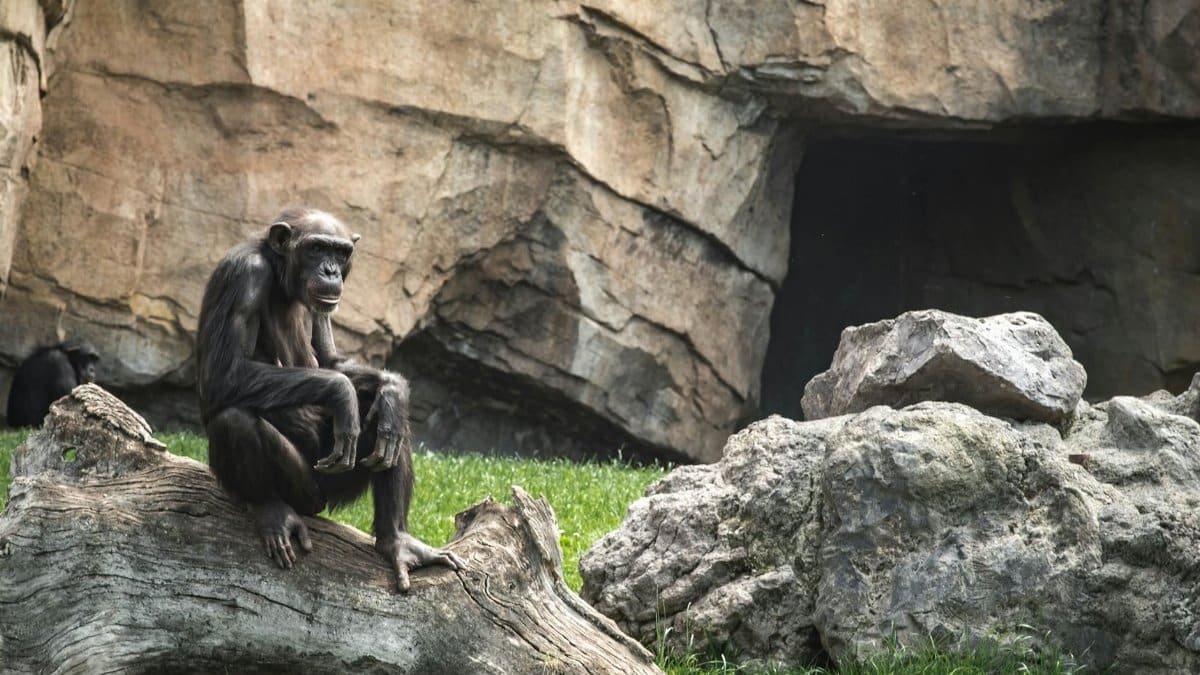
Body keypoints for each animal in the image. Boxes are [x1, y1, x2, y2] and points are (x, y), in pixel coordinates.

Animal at [195, 207, 463, 590]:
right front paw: (341, 392)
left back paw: (396, 540)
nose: (331, 271)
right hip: (305, 491)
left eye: (340, 253)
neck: (281, 278)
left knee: (390, 424)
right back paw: (273, 512)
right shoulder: (243, 275)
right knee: (233, 419)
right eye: (317, 248)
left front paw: (394, 387)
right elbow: (224, 372)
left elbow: (332, 361)